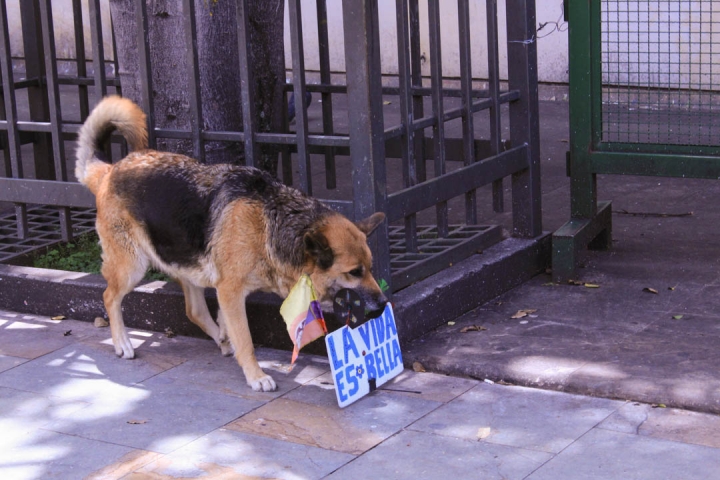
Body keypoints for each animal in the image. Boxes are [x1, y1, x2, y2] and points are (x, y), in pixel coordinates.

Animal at [74, 95, 388, 392]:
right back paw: (122, 343)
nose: (385, 304)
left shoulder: (226, 290)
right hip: (132, 267)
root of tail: (110, 171)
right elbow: (245, 339)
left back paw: (220, 340)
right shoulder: (230, 291)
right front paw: (256, 376)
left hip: (185, 262)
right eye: (354, 272)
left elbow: (228, 324)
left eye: (371, 268)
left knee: (195, 311)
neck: (269, 222)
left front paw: (230, 340)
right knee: (109, 296)